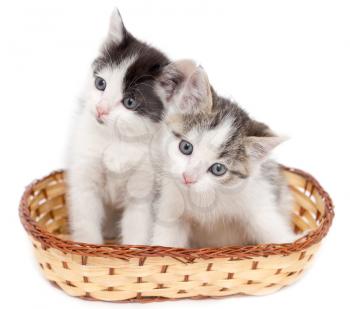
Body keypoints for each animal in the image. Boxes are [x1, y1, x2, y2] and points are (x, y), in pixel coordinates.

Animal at [67, 9, 170, 243]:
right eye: (100, 83)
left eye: (129, 102)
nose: (101, 109)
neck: (115, 138)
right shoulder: (85, 177)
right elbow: (86, 221)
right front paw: (90, 247)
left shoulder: (144, 187)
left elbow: (138, 228)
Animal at [152, 60, 296, 248]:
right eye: (186, 147)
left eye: (218, 169)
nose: (188, 178)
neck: (204, 196)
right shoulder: (170, 203)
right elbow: (166, 238)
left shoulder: (258, 196)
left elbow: (270, 227)